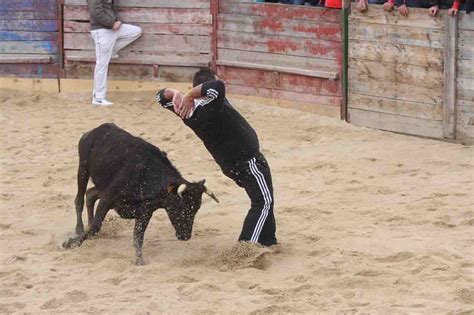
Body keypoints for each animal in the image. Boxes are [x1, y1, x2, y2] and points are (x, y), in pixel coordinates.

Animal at [63, 123, 218, 264]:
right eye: (181, 206)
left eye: (196, 209)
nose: (186, 236)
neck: (147, 175)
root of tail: (92, 132)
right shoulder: (108, 198)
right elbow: (96, 226)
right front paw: (71, 243)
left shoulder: (145, 211)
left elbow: (138, 235)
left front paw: (139, 260)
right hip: (83, 169)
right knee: (80, 200)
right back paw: (79, 229)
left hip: (101, 184)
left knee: (90, 194)